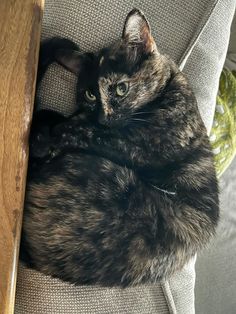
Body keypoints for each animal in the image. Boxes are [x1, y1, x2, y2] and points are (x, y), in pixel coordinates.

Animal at [21, 8, 220, 288]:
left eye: (121, 88)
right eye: (90, 94)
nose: (105, 118)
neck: (172, 87)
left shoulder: (144, 145)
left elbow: (88, 134)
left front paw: (58, 134)